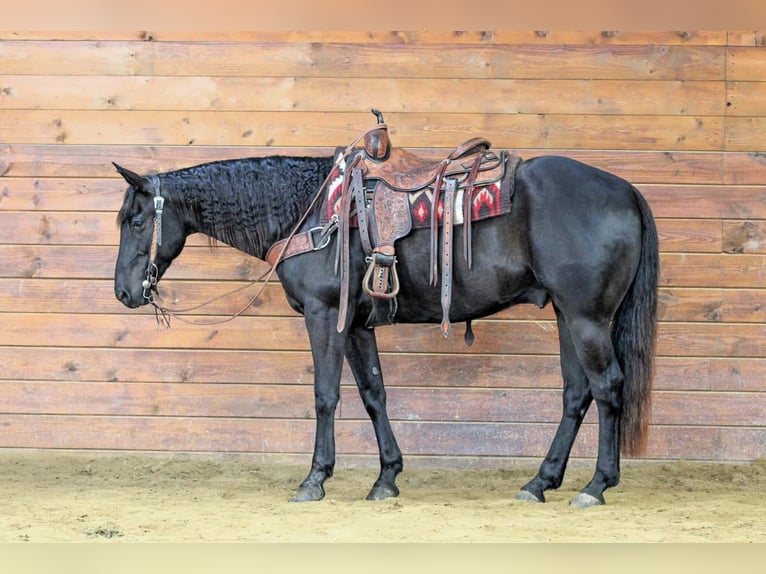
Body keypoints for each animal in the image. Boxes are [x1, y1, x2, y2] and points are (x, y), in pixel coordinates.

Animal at [113, 141, 658, 508]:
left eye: (137, 222)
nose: (123, 292)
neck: (310, 211)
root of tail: (626, 190)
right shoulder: (356, 325)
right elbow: (374, 394)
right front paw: (387, 477)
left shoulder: (324, 315)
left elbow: (325, 396)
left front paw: (315, 479)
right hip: (568, 314)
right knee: (576, 394)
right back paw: (540, 482)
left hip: (587, 318)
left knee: (607, 387)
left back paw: (595, 486)